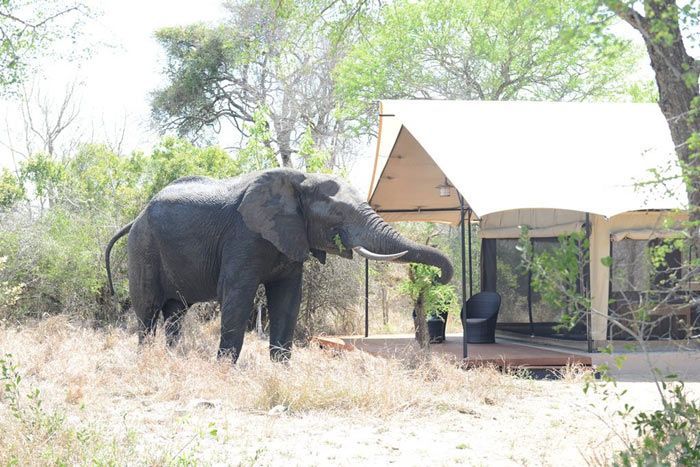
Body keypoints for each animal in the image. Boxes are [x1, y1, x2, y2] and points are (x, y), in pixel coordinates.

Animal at [105, 168, 454, 362]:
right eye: (338, 214)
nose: (437, 279)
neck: (299, 179)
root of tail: (135, 218)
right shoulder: (244, 235)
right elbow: (238, 295)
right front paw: (224, 370)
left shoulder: (291, 238)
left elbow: (288, 299)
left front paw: (282, 369)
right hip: (142, 247)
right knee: (148, 311)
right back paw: (147, 359)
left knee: (175, 312)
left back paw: (172, 358)